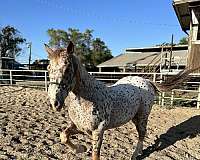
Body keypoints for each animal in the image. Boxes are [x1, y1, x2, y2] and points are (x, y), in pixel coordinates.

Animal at [44, 41, 196, 160]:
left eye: (67, 67)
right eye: (48, 68)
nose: (54, 103)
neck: (88, 99)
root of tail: (147, 81)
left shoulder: (98, 132)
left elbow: (95, 155)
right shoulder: (79, 127)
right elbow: (63, 136)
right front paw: (80, 148)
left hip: (142, 117)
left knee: (142, 134)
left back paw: (134, 155)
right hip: (134, 117)